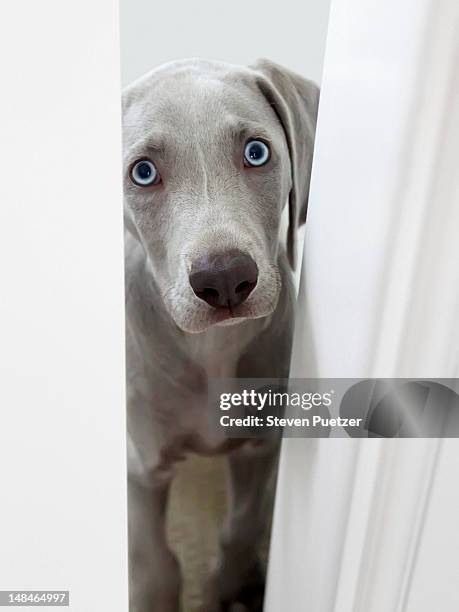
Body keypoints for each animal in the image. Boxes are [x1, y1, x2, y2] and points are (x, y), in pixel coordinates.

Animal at [122, 58, 320, 612]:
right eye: (143, 172)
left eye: (257, 152)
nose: (226, 279)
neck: (212, 350)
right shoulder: (140, 468)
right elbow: (155, 564)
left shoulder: (260, 446)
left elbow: (242, 527)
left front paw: (230, 588)